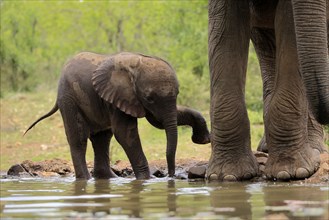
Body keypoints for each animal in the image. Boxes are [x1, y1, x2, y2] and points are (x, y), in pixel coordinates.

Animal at [25, 52, 210, 180]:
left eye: (178, 93)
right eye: (149, 98)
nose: (170, 176)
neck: (136, 64)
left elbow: (162, 118)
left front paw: (204, 139)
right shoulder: (118, 97)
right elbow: (125, 134)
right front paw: (146, 179)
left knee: (102, 138)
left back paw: (109, 178)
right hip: (68, 99)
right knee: (79, 138)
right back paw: (86, 179)